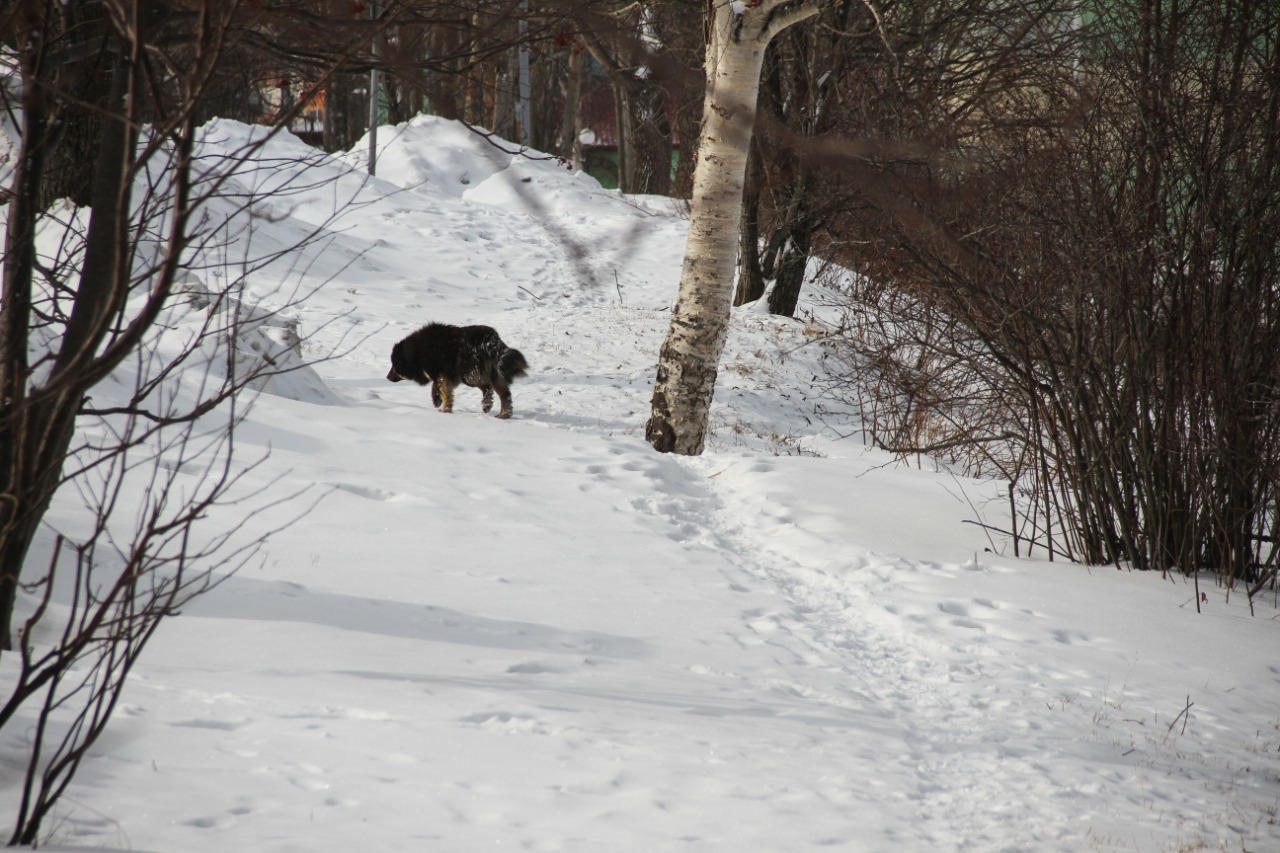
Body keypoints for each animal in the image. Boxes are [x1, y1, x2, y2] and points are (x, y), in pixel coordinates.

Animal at [389, 320, 529, 417]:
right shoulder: (446, 375)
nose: (388, 377)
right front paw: (437, 400)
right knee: (505, 394)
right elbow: (437, 387)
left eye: (394, 365)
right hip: (492, 372)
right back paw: (503, 415)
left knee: (488, 388)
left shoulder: (442, 374)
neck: (416, 352)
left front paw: (445, 409)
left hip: (469, 374)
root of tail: (492, 339)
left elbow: (445, 392)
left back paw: (488, 406)